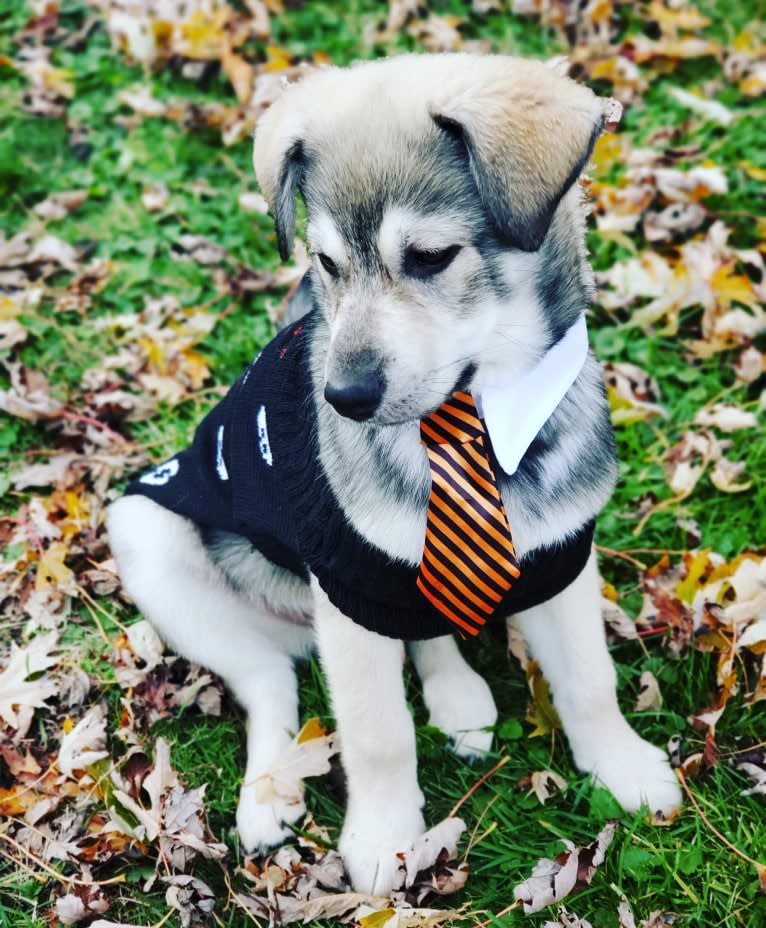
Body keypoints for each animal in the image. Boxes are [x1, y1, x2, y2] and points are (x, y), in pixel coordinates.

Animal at [105, 54, 680, 896]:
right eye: (327, 265)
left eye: (432, 257)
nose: (342, 399)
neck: (464, 425)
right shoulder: (346, 586)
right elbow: (378, 732)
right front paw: (384, 835)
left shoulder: (562, 554)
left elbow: (588, 678)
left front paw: (621, 764)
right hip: (149, 536)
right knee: (269, 682)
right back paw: (270, 790)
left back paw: (455, 698)